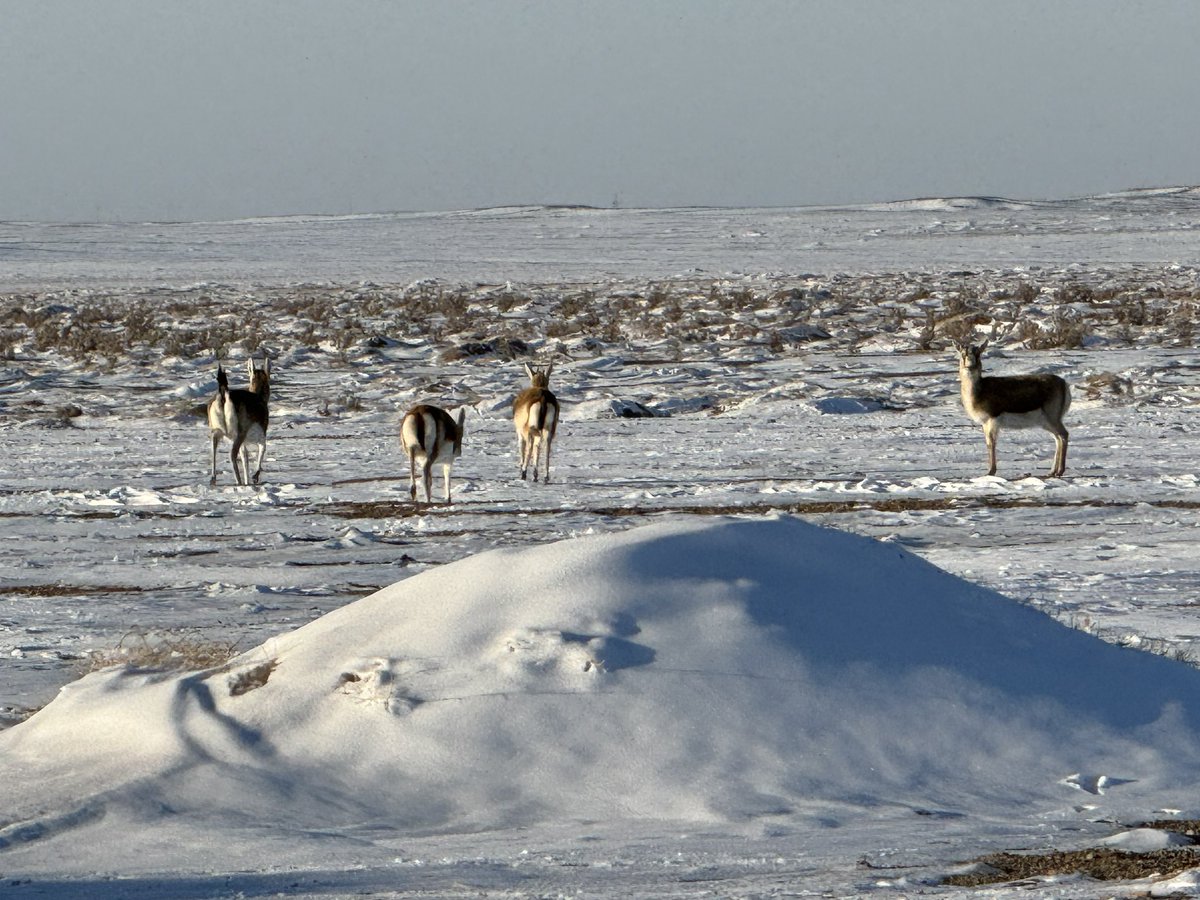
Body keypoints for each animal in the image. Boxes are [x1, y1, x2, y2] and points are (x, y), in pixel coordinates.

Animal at [208, 356, 270, 486]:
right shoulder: (261, 436)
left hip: (217, 431)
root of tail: (224, 394)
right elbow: (262, 450)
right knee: (232, 454)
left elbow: (245, 460)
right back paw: (238, 480)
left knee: (213, 448)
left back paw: (213, 479)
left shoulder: (244, 444)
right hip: (239, 434)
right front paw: (255, 476)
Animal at [955, 338, 1070, 477]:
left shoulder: (992, 420)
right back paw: (1052, 472)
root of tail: (1063, 384)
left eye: (978, 354)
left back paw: (1060, 471)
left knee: (1063, 435)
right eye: (963, 353)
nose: (970, 366)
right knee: (1057, 438)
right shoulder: (984, 423)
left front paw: (991, 471)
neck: (978, 392)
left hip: (1052, 419)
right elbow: (988, 443)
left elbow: (992, 443)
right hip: (1046, 423)